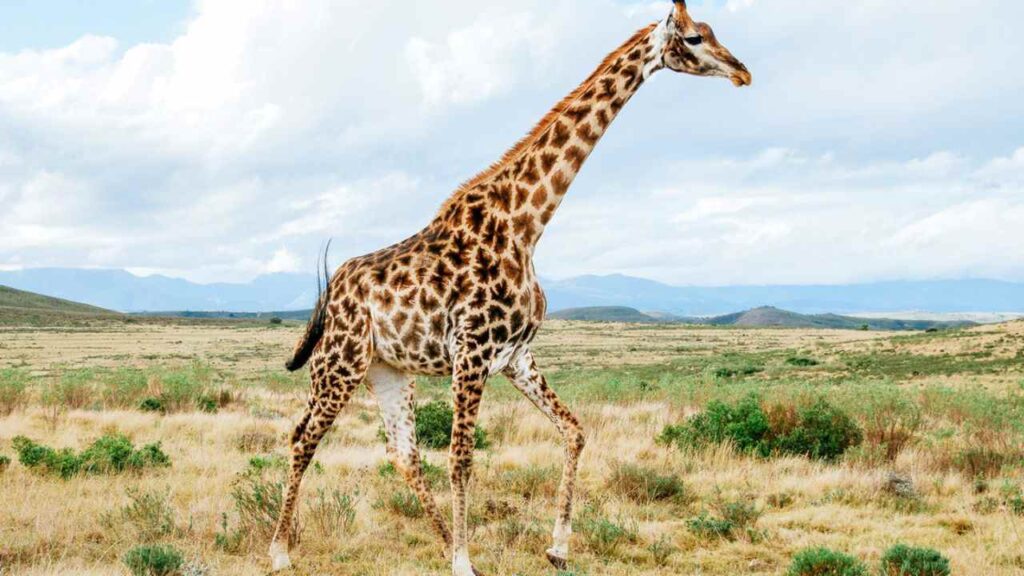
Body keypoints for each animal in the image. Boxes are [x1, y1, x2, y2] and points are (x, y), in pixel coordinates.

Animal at [269, 2, 750, 574]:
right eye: (695, 37)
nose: (742, 72)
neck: (526, 225)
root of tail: (332, 290)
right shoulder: (472, 353)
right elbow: (461, 459)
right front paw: (464, 561)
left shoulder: (516, 356)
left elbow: (574, 430)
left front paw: (557, 546)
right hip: (339, 364)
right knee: (303, 438)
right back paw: (280, 550)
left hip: (387, 371)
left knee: (402, 454)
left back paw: (436, 540)